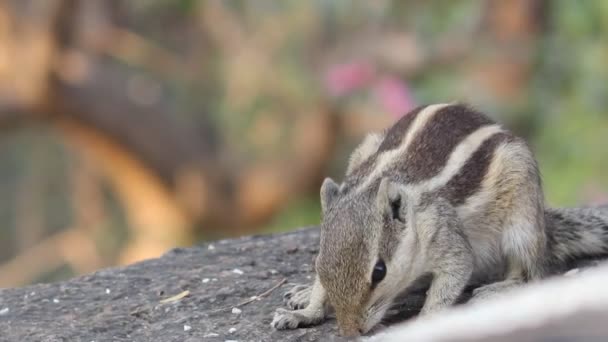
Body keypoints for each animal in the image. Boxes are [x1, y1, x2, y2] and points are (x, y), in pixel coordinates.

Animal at [270, 102, 608, 336]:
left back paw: (500, 289)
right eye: (319, 263)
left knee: (531, 273)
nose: (351, 332)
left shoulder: (443, 230)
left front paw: (425, 324)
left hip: (522, 215)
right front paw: (307, 310)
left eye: (379, 272)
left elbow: (455, 272)